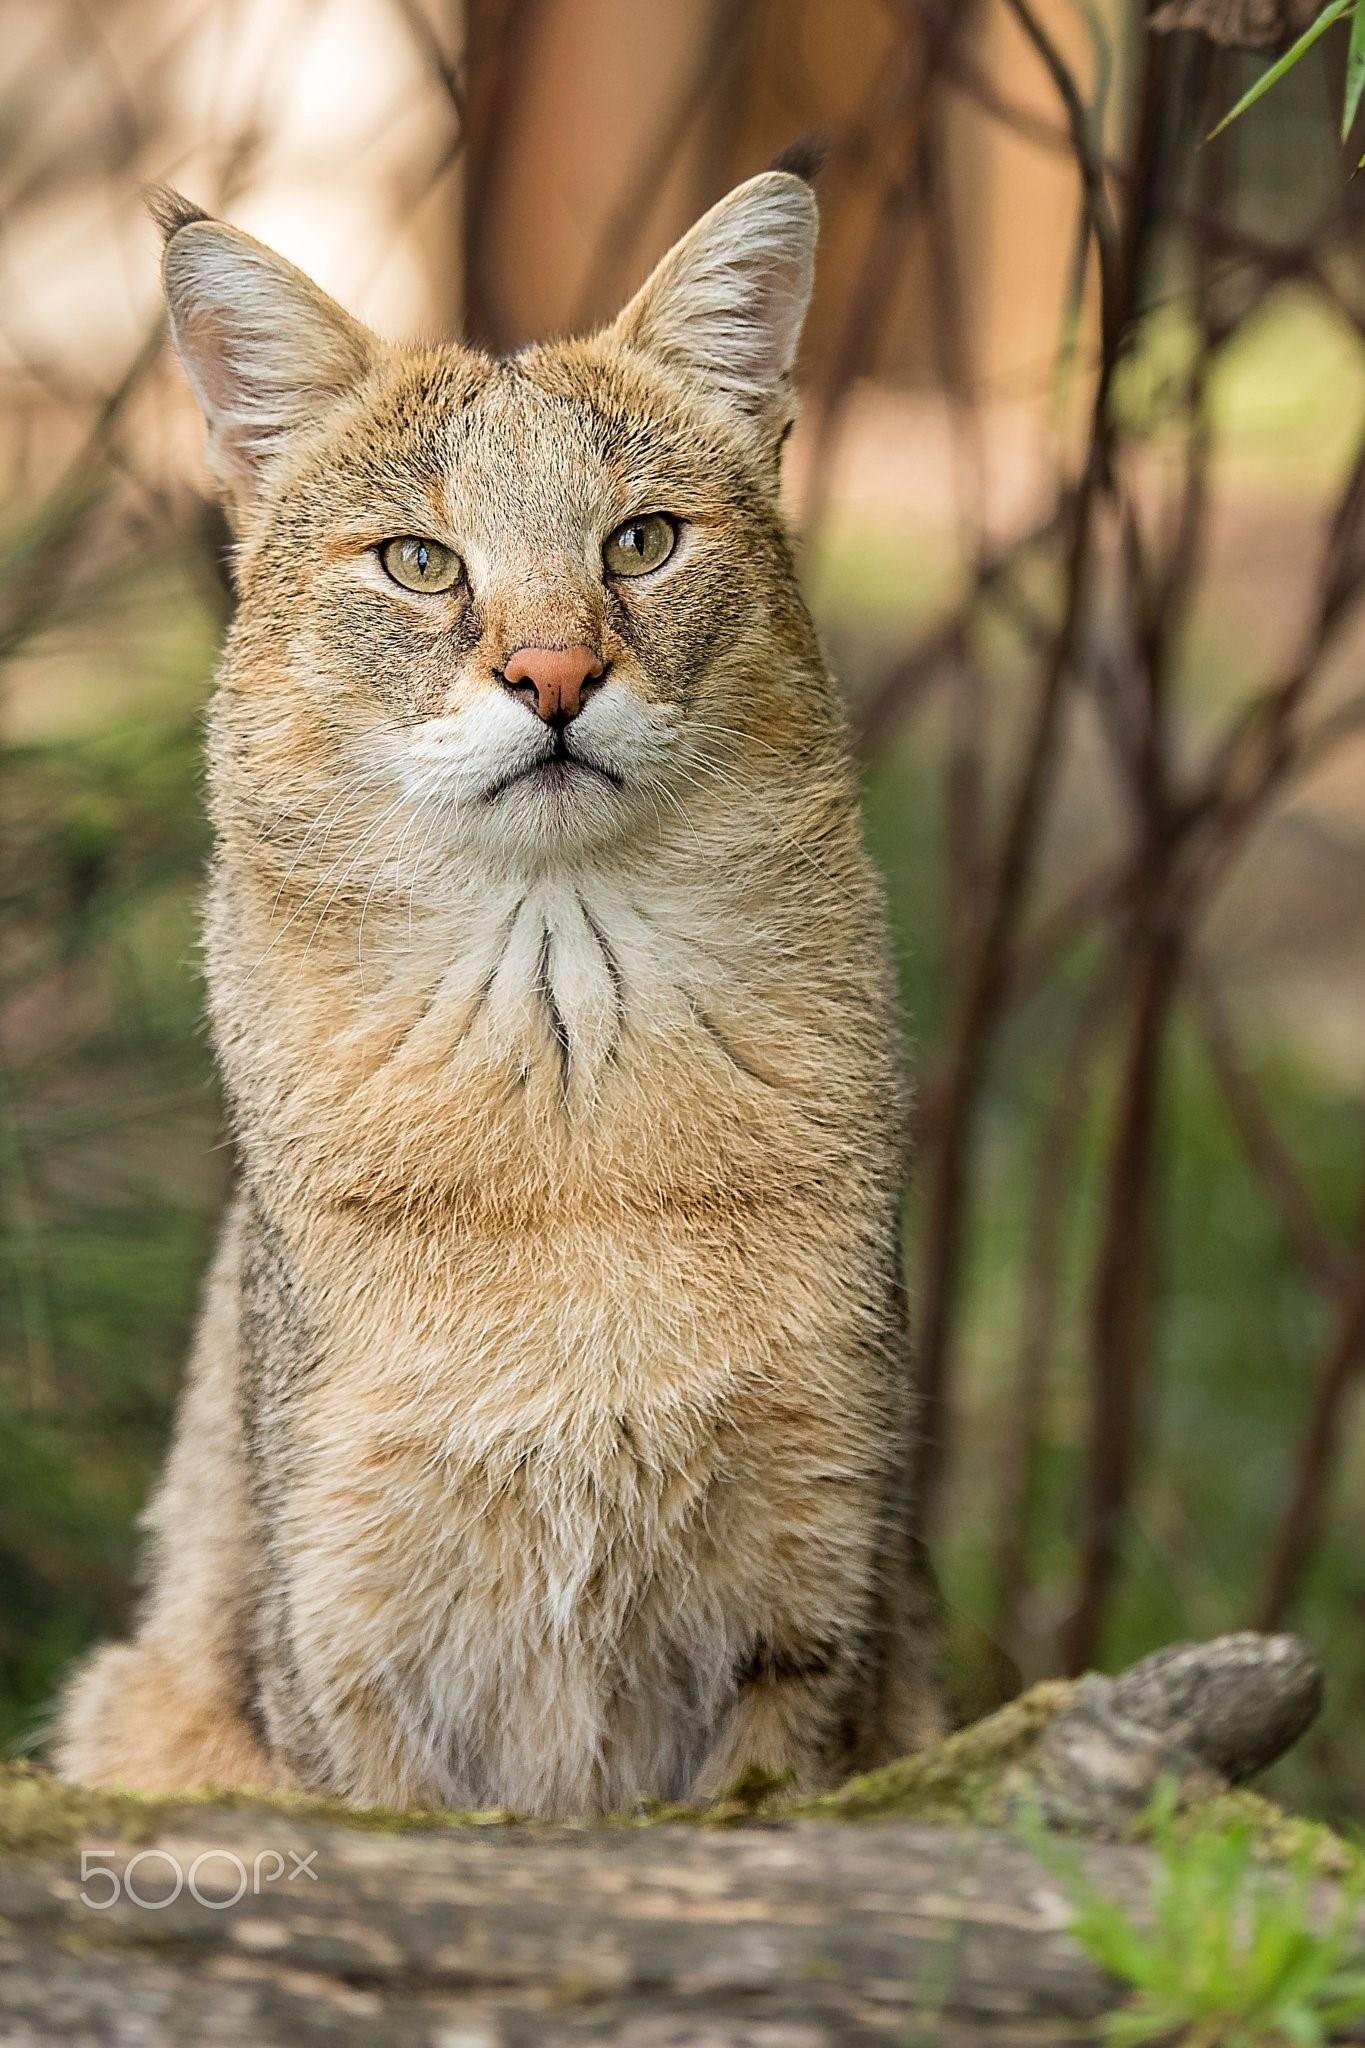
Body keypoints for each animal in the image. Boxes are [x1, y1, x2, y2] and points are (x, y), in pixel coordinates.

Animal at [56, 163, 949, 1826]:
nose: (551, 677)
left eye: (642, 542)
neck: (565, 1069)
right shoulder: (351, 1656)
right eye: (420, 561)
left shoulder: (813, 1614)